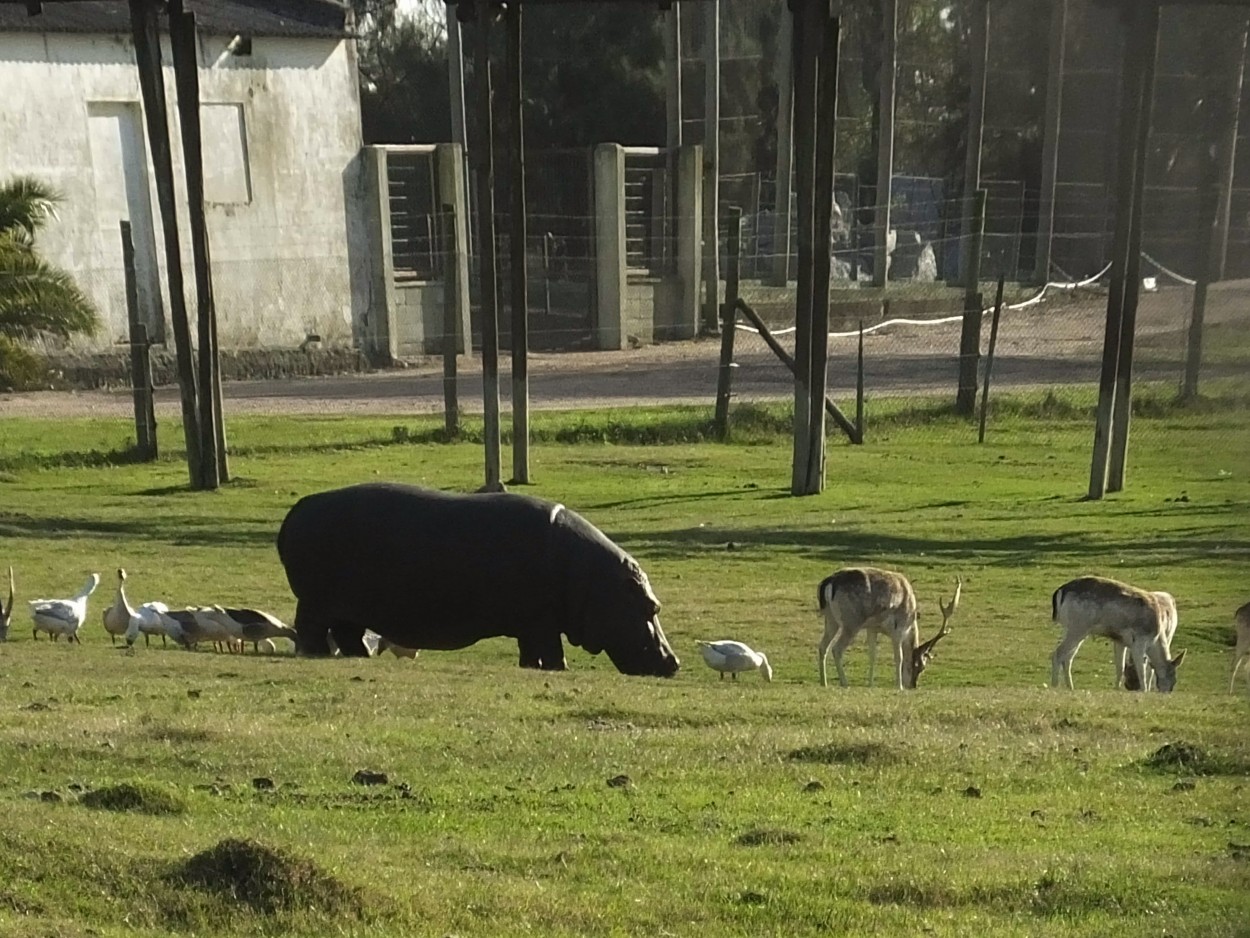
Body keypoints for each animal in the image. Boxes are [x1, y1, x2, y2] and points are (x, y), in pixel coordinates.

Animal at [815, 565, 960, 690]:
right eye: (921, 667)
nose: (913, 686)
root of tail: (829, 582)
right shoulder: (898, 628)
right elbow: (899, 657)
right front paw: (899, 686)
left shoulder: (872, 628)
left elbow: (872, 655)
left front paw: (871, 685)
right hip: (852, 621)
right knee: (836, 648)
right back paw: (845, 683)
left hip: (830, 618)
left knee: (823, 646)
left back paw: (824, 682)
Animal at [1050, 577, 1185, 695]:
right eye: (1172, 675)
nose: (1168, 691)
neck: (1156, 638)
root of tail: (1060, 591)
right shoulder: (1139, 640)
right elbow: (1141, 668)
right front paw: (1144, 690)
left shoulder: (1120, 640)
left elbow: (1120, 667)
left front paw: (1117, 689)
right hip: (1078, 628)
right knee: (1058, 653)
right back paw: (1054, 686)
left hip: (1073, 629)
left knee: (1068, 657)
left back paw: (1070, 687)